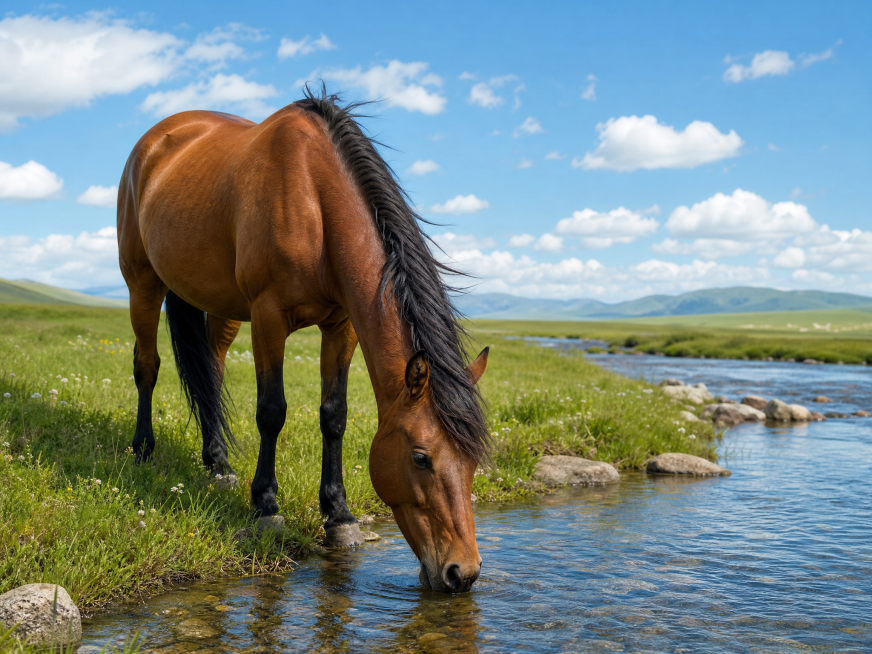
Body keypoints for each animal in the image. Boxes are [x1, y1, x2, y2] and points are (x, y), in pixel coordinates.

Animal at [117, 88, 491, 593]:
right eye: (420, 458)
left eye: (473, 461)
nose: (462, 573)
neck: (313, 200)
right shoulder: (268, 317)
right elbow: (271, 411)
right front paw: (266, 508)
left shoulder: (341, 326)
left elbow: (334, 416)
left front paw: (339, 516)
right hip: (143, 283)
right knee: (147, 366)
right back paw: (143, 450)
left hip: (220, 305)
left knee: (211, 373)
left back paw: (219, 465)